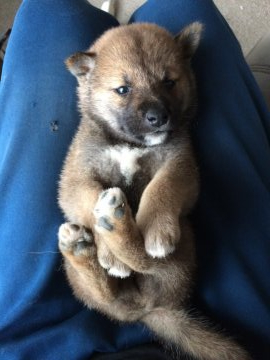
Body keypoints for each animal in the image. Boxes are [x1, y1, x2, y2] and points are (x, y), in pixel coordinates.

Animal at [58, 23, 250, 360]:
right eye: (123, 89)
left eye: (169, 82)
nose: (158, 117)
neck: (130, 144)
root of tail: (146, 311)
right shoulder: (75, 180)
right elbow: (89, 198)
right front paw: (106, 249)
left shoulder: (181, 164)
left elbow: (162, 187)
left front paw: (156, 227)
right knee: (107, 292)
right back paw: (88, 245)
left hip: (183, 247)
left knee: (147, 260)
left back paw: (115, 227)